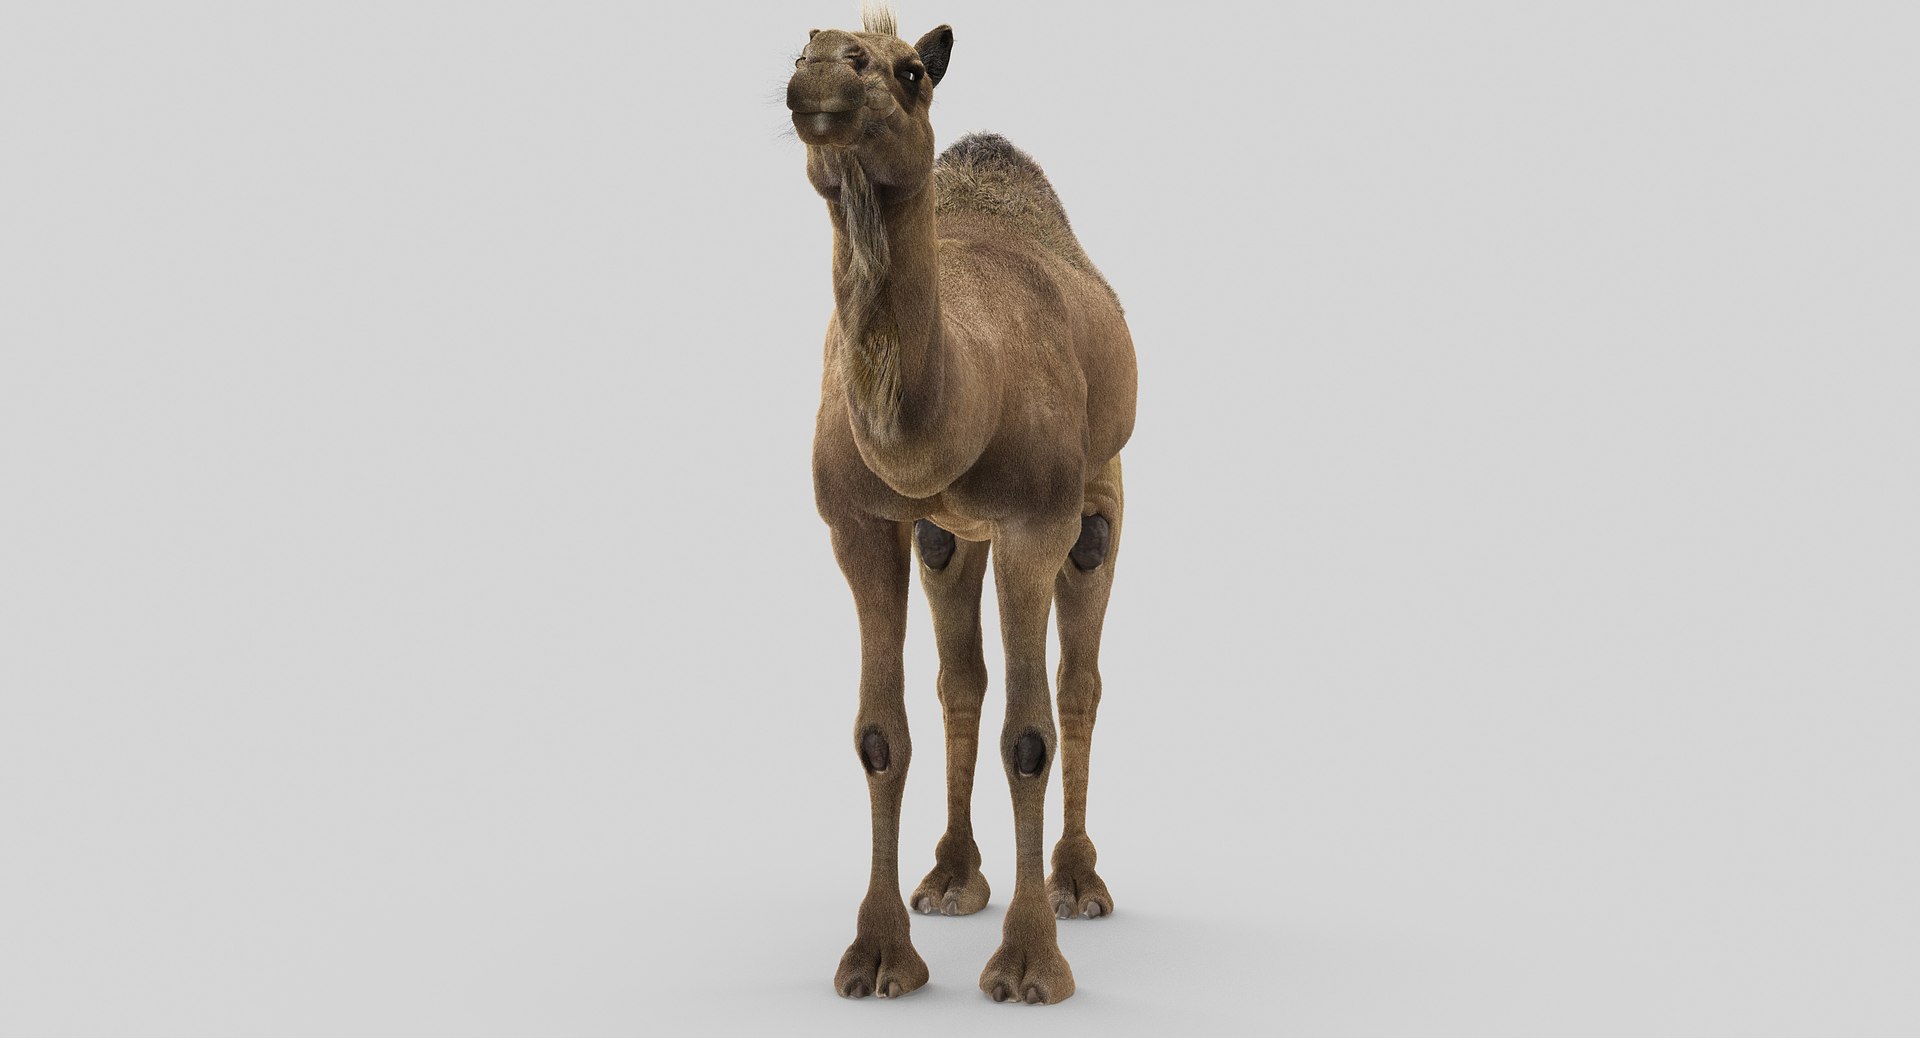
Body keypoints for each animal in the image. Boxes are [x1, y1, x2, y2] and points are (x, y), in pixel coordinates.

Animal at [786, 2, 1137, 1006]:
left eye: (909, 71)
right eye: (800, 45)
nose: (824, 70)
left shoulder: (1035, 522)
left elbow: (1033, 734)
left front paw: (1027, 967)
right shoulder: (861, 525)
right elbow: (879, 733)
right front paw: (875, 959)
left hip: (1102, 495)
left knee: (1080, 681)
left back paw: (1077, 884)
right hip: (949, 535)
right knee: (960, 678)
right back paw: (948, 875)